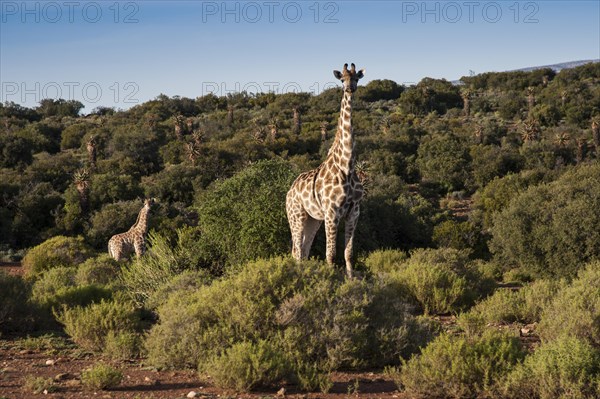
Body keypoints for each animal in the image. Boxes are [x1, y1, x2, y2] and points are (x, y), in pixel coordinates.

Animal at [288, 64, 366, 280]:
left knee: (304, 249)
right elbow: (330, 254)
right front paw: (332, 279)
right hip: (296, 216)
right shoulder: (332, 213)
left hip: (313, 220)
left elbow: (348, 253)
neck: (346, 166)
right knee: (296, 250)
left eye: (357, 78)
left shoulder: (354, 212)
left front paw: (351, 280)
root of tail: (289, 191)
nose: (349, 88)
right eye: (342, 79)